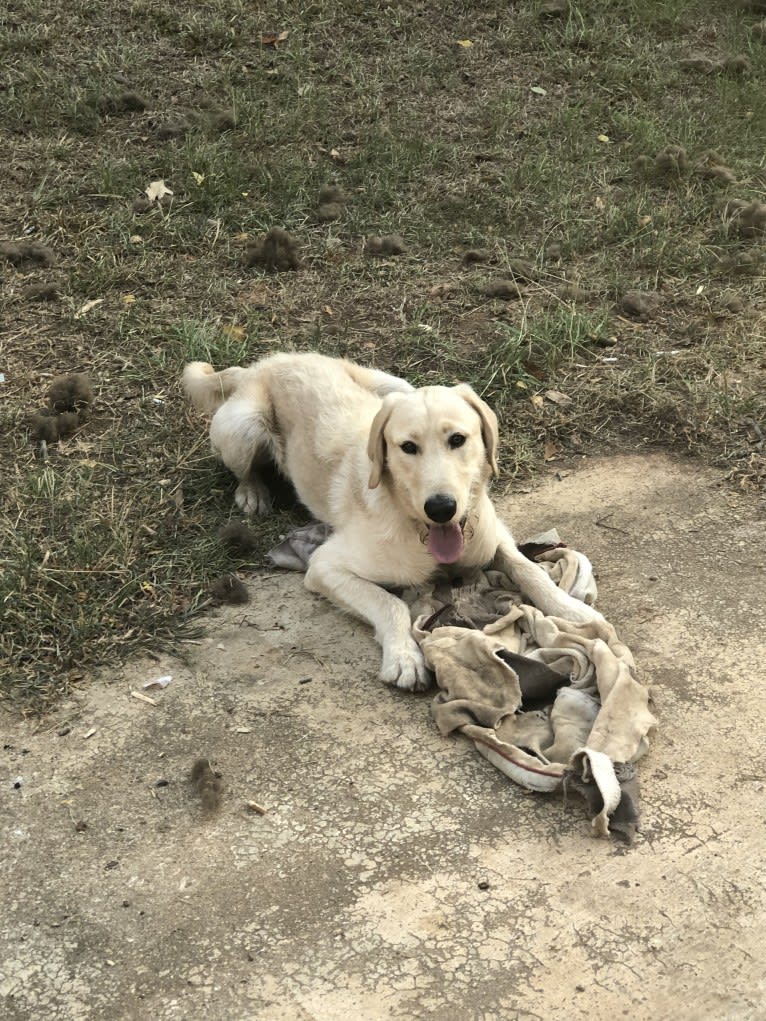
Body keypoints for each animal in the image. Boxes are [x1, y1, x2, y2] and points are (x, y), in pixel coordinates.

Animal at [182, 351, 604, 694]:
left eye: (457, 439)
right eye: (408, 447)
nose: (441, 508)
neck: (417, 529)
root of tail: (268, 363)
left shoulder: (492, 535)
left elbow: (526, 567)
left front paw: (571, 609)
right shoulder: (325, 566)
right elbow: (390, 603)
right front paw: (404, 657)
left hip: (394, 385)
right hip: (243, 426)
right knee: (244, 469)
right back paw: (252, 492)